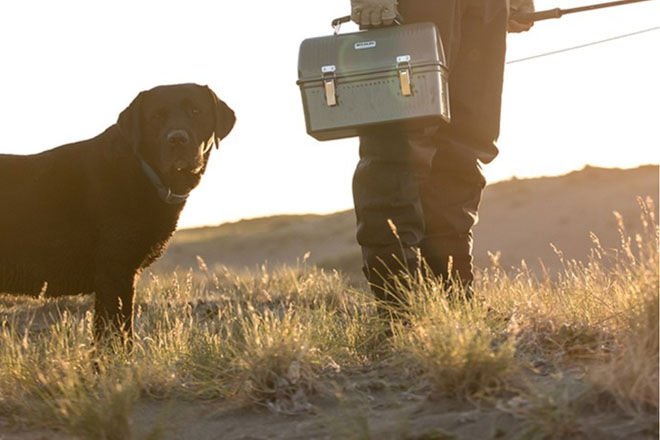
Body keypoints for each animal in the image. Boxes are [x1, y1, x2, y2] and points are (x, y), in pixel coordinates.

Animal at [0, 85, 237, 340]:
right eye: (156, 117)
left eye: (195, 110)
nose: (177, 139)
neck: (143, 168)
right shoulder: (115, 272)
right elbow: (116, 336)